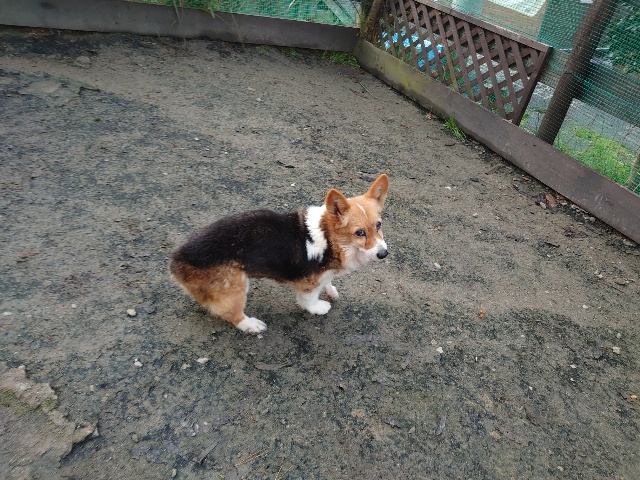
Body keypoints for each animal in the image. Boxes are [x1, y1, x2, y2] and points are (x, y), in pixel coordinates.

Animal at [169, 174, 389, 333]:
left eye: (378, 225)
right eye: (360, 233)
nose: (384, 254)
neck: (329, 238)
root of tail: (177, 261)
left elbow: (328, 281)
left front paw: (331, 289)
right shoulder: (308, 284)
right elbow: (308, 300)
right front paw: (319, 308)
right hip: (236, 287)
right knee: (232, 314)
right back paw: (252, 325)